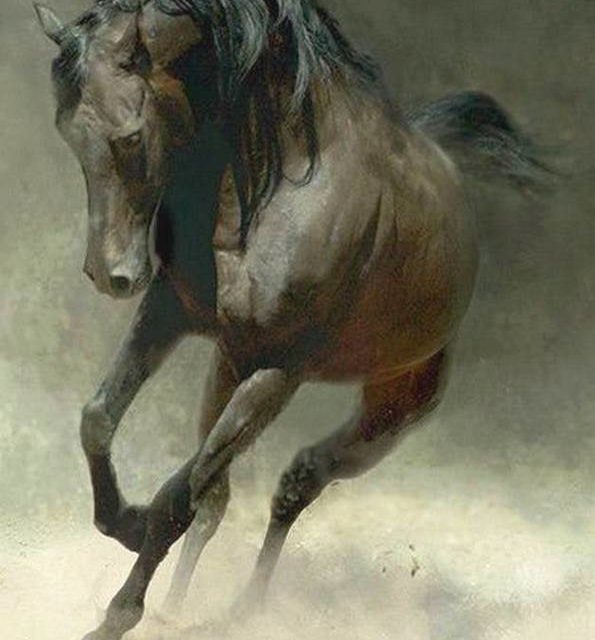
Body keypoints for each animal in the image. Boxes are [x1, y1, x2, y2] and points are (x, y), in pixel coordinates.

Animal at [35, 1, 550, 638]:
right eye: (68, 133)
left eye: (129, 137)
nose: (110, 276)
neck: (274, 184)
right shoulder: (169, 311)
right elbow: (100, 420)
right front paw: (124, 524)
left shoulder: (278, 371)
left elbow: (179, 494)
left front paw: (117, 613)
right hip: (226, 369)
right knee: (224, 498)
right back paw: (184, 608)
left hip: (388, 413)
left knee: (296, 482)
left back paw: (246, 610)